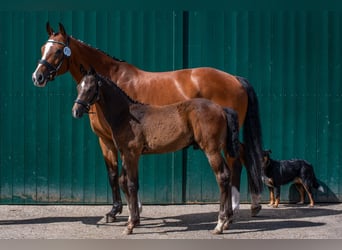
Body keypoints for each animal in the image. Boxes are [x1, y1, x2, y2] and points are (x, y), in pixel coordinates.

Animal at [71, 67, 239, 234]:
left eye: (90, 88)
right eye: (78, 87)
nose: (76, 111)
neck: (126, 115)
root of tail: (221, 109)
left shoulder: (132, 154)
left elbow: (132, 184)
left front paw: (131, 225)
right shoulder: (125, 154)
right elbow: (123, 181)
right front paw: (132, 219)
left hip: (212, 150)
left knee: (222, 177)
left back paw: (219, 224)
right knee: (228, 174)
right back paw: (226, 221)